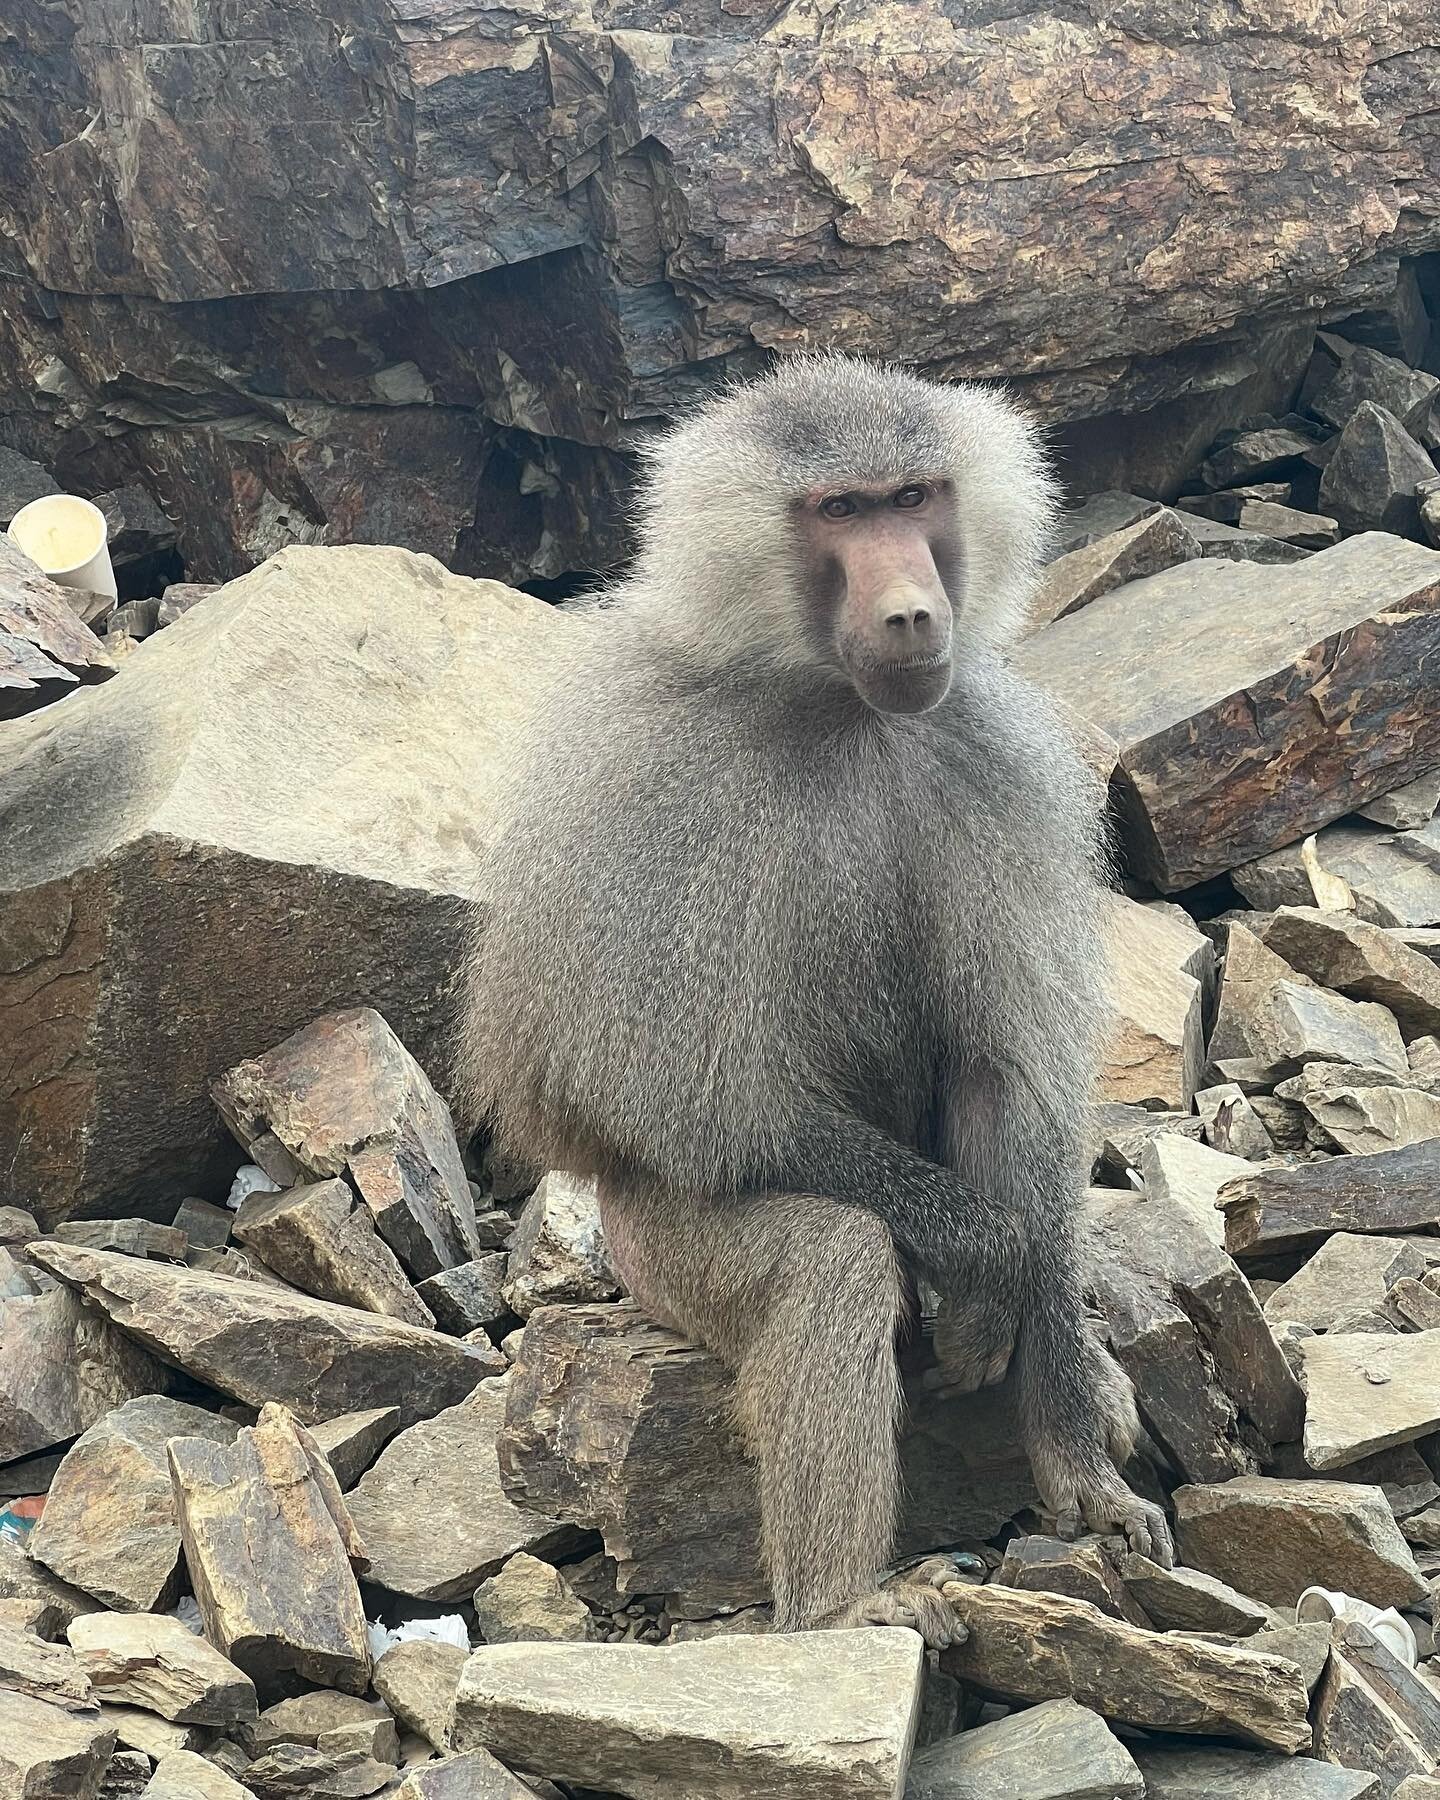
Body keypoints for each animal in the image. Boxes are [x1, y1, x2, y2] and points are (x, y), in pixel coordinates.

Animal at [457, 353, 1174, 1643]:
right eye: (839, 511)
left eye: (913, 496)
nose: (912, 614)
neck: (836, 703)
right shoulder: (660, 789)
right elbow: (709, 1114)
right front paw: (994, 1267)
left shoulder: (990, 757)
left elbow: (1008, 1075)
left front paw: (1067, 1420)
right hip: (654, 1253)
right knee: (831, 1258)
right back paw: (845, 1605)